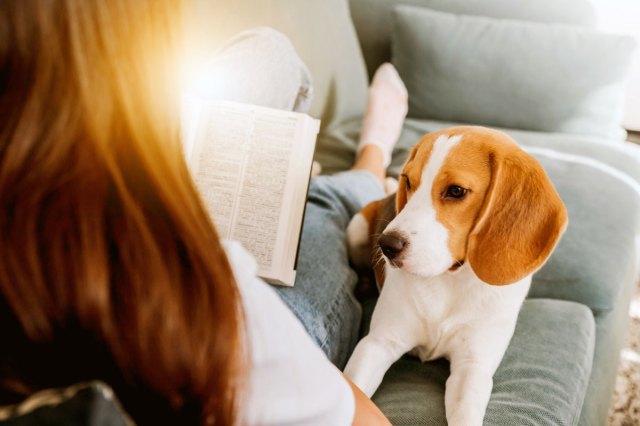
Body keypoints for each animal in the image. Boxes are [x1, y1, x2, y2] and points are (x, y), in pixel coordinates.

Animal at [344, 125, 564, 426]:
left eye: (456, 191)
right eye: (408, 181)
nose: (386, 245)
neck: (450, 279)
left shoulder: (472, 368)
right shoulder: (377, 344)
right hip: (356, 228)